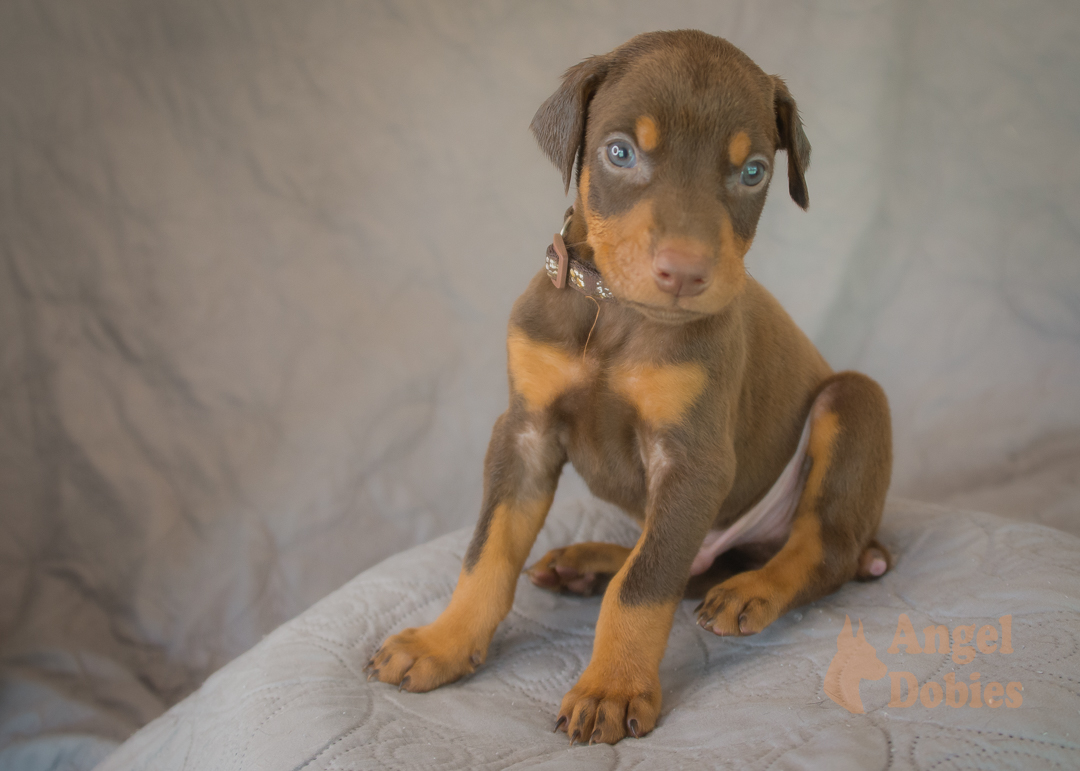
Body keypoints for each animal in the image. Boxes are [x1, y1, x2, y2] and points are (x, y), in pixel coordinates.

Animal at [367, 31, 889, 742]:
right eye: (620, 153)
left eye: (753, 171)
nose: (686, 273)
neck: (612, 311)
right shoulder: (525, 432)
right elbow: (486, 552)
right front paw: (443, 643)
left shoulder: (692, 461)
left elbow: (643, 585)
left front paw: (612, 687)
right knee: (688, 560)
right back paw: (585, 561)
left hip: (853, 402)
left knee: (816, 548)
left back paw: (753, 588)